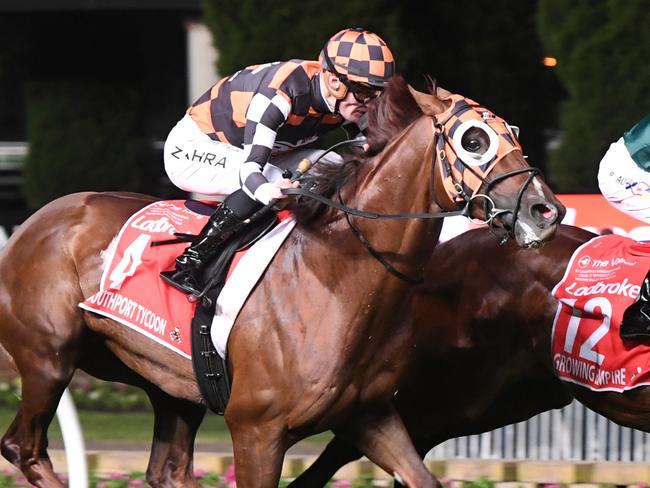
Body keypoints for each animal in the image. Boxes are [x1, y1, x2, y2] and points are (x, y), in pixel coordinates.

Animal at [0, 77, 560, 488]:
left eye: (512, 132)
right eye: (474, 140)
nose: (546, 210)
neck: (335, 277)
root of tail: (32, 223)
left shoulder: (370, 416)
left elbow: (421, 478)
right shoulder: (257, 431)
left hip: (171, 388)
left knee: (167, 470)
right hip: (49, 358)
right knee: (23, 447)